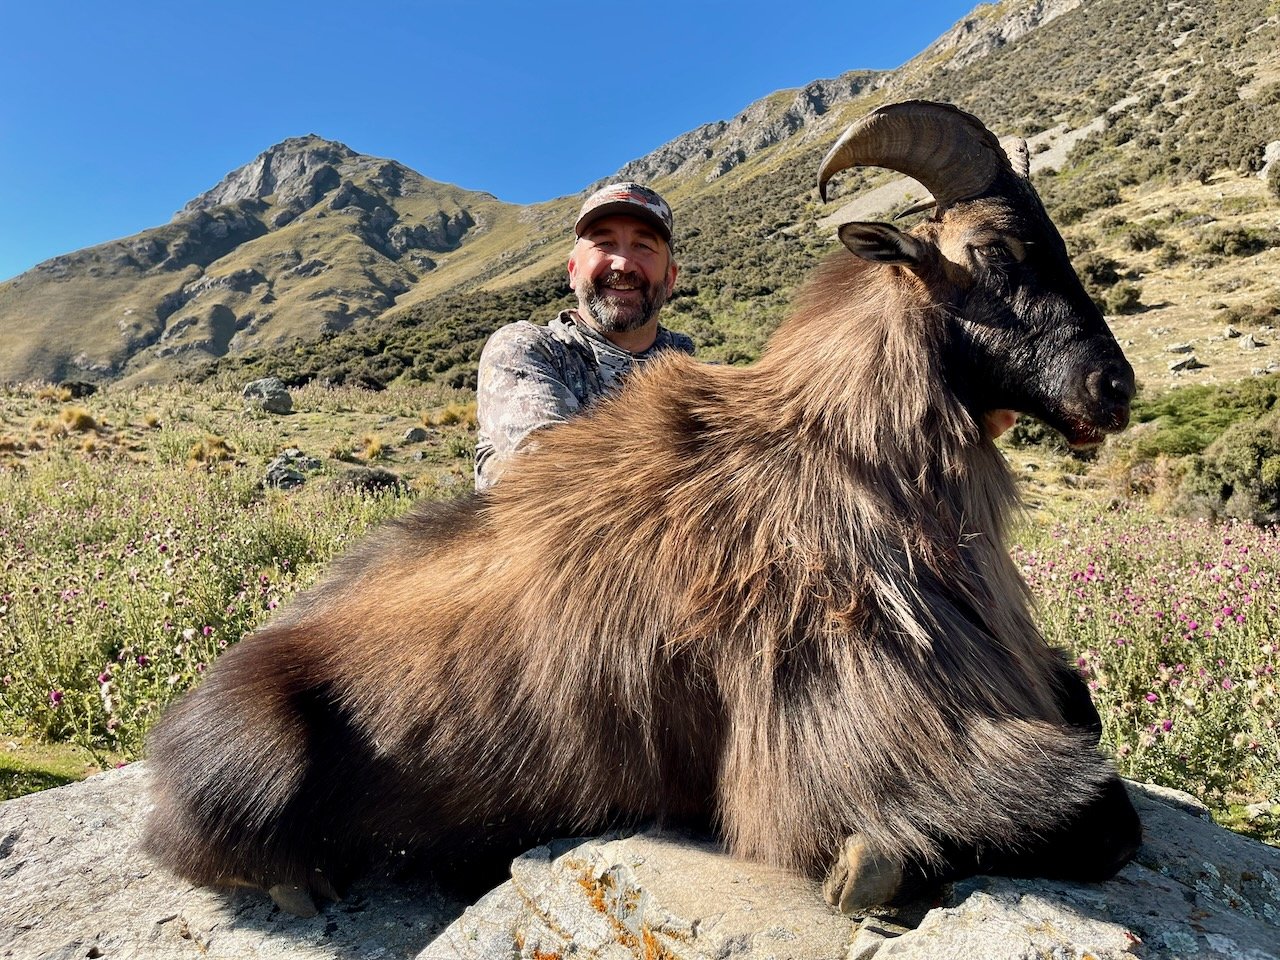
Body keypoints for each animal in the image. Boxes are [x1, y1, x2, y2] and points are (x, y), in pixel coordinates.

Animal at [144, 100, 1141, 917]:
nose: (1114, 387)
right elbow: (1099, 812)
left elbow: (1086, 715)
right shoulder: (849, 727)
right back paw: (302, 878)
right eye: (999, 253)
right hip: (258, 757)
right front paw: (877, 870)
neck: (856, 457)